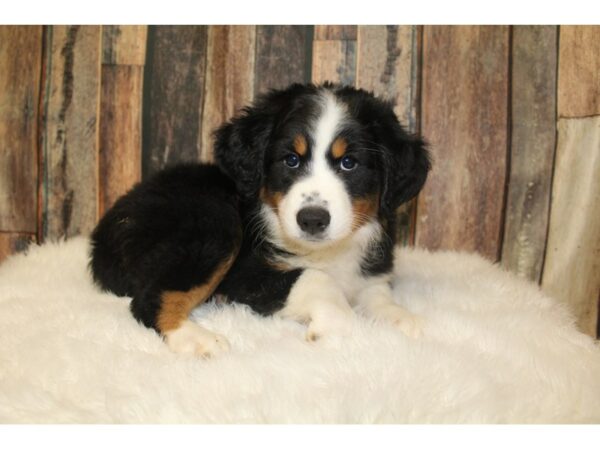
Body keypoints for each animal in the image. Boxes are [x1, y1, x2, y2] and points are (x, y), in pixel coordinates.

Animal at [89, 83, 432, 358]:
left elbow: (377, 294)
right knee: (149, 300)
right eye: (291, 160)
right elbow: (317, 280)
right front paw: (332, 327)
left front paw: (403, 319)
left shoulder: (371, 271)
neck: (327, 252)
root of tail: (106, 230)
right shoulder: (249, 274)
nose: (312, 220)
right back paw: (198, 339)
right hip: (215, 223)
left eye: (349, 163)